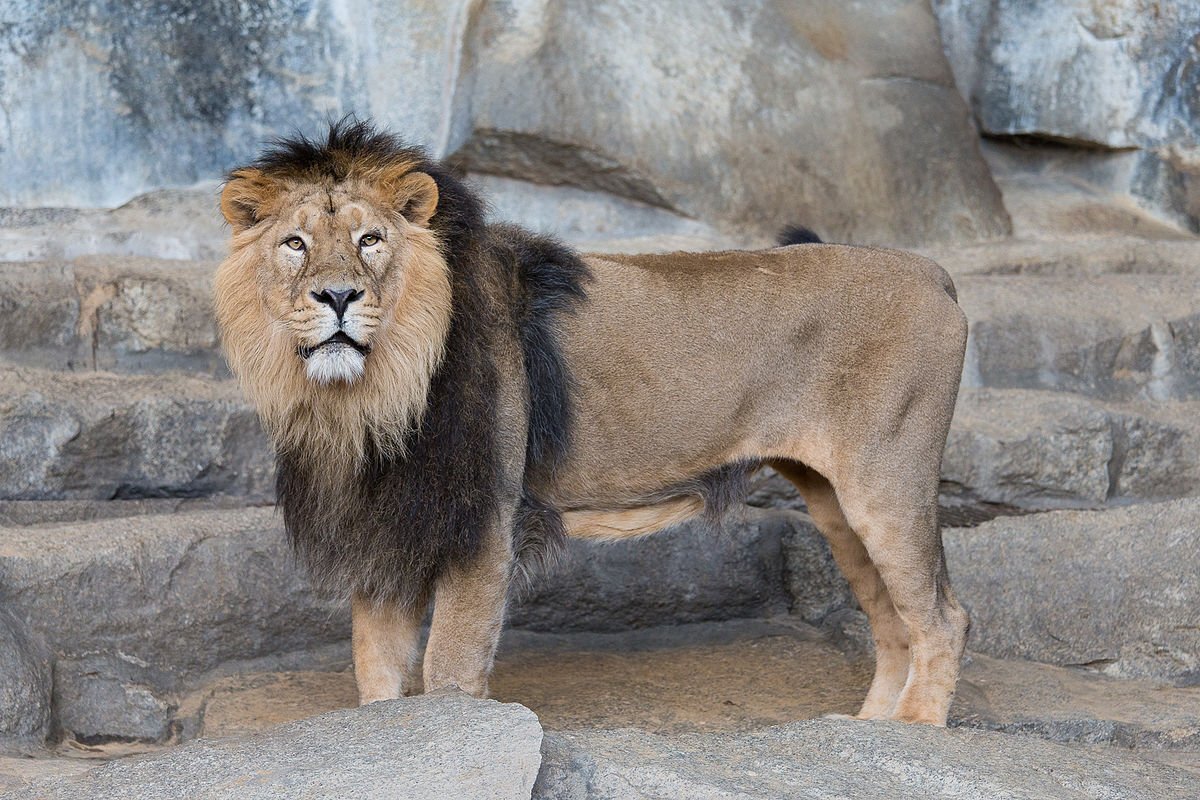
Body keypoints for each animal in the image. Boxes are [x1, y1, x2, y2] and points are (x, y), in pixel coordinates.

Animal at [211, 118, 969, 724]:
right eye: (295, 244)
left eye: (370, 240)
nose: (338, 296)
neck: (369, 397)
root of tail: (932, 271)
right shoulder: (388, 524)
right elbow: (376, 674)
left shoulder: (485, 522)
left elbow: (449, 669)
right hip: (835, 501)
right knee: (893, 623)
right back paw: (867, 734)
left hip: (886, 485)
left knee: (942, 619)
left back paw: (915, 734)